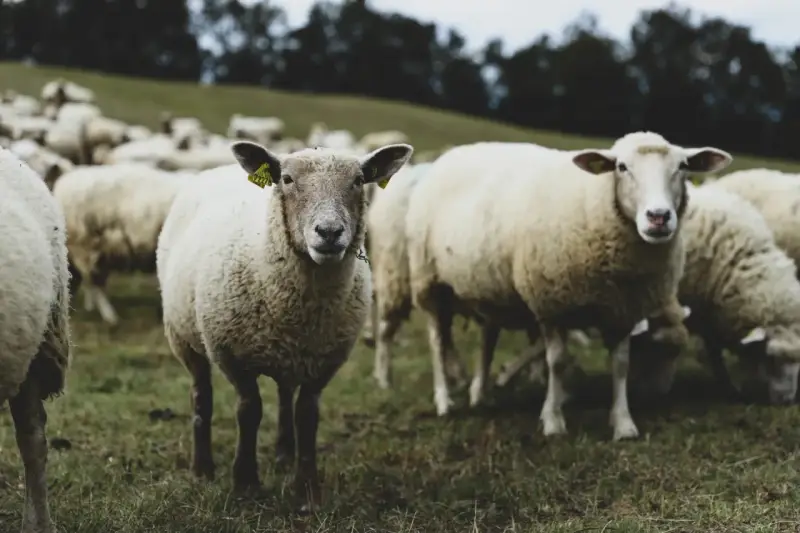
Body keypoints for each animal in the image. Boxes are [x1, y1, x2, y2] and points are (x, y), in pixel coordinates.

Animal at [156, 140, 413, 509]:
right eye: (287, 179)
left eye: (358, 180)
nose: (329, 233)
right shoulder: (232, 355)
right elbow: (249, 411)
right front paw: (246, 482)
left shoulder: (324, 361)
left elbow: (306, 415)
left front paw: (306, 488)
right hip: (184, 336)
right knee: (201, 393)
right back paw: (202, 468)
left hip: (289, 355)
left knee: (284, 392)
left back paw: (284, 453)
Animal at [405, 133, 732, 439]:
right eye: (622, 167)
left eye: (682, 167)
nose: (659, 217)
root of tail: (455, 153)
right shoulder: (551, 304)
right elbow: (557, 362)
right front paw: (552, 421)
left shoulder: (623, 310)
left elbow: (621, 364)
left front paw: (623, 423)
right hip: (428, 282)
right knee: (437, 340)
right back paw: (444, 401)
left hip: (487, 290)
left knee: (487, 338)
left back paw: (480, 394)